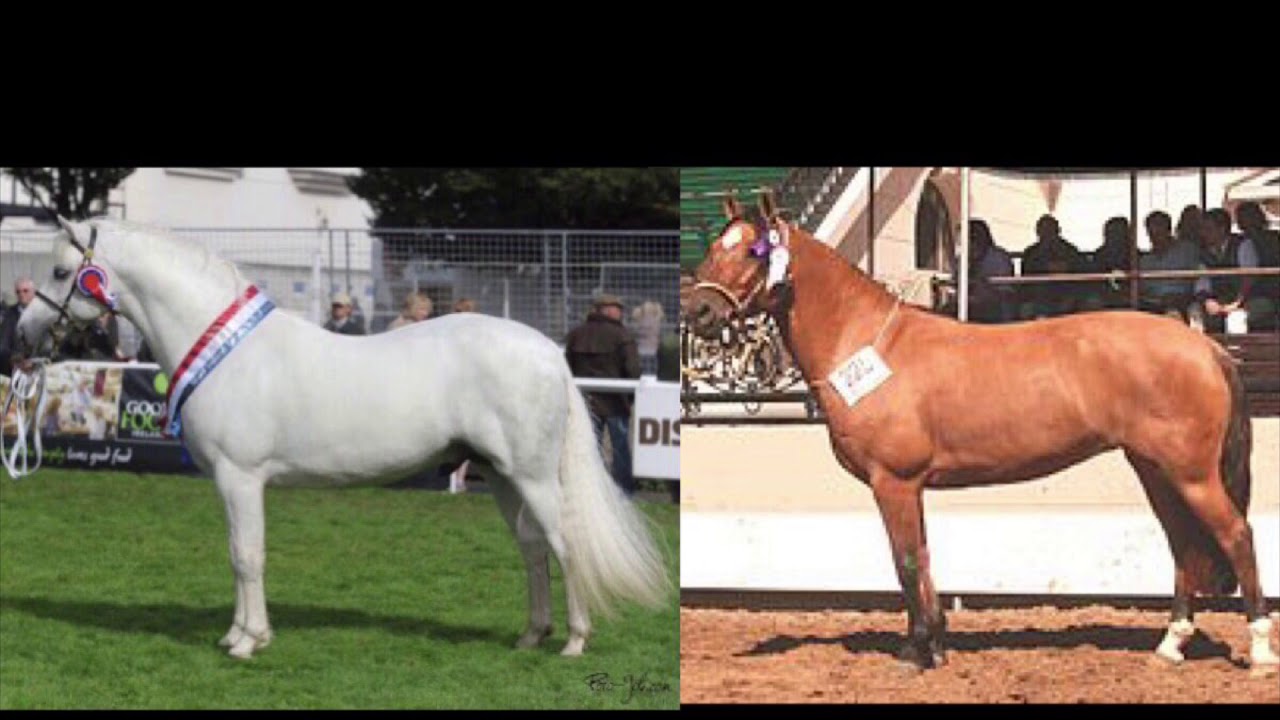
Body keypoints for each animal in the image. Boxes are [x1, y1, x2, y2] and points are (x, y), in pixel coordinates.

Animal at [12, 216, 670, 660]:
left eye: (63, 272)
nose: (23, 331)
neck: (227, 350)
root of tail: (548, 352)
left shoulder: (240, 477)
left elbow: (246, 555)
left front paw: (248, 641)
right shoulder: (230, 483)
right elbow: (238, 556)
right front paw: (239, 632)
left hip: (532, 476)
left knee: (564, 544)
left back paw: (575, 642)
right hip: (503, 476)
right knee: (532, 549)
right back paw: (531, 635)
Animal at [683, 192, 1278, 674]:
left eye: (751, 251)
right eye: (716, 246)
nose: (699, 312)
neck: (868, 344)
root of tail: (1203, 345)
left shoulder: (893, 481)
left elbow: (905, 563)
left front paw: (913, 652)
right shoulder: (911, 487)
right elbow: (922, 559)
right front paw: (935, 646)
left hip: (1191, 473)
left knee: (1236, 535)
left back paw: (1258, 648)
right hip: (1155, 470)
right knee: (1183, 547)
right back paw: (1170, 645)